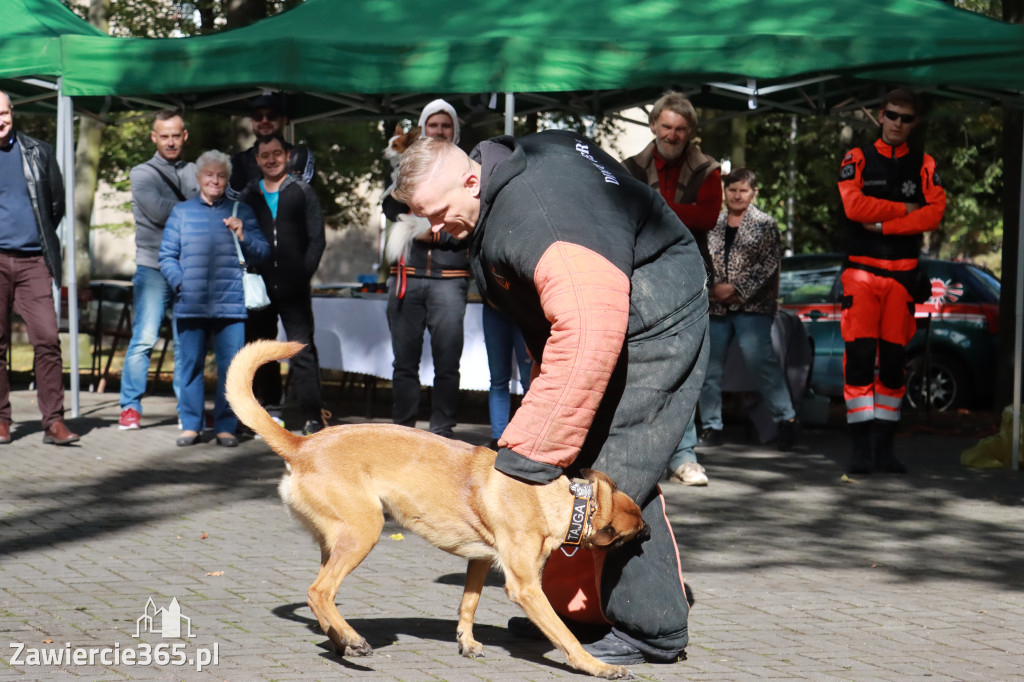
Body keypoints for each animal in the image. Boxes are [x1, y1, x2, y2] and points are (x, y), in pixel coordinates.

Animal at [227, 339, 647, 675]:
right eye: (631, 532)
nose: (649, 534)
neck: (564, 501)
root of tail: (301, 445)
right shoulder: (526, 587)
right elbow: (564, 633)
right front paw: (595, 666)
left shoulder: (480, 561)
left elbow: (468, 604)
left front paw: (466, 642)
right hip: (364, 531)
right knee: (318, 592)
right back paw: (354, 640)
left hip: (336, 542)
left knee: (323, 597)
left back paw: (341, 642)